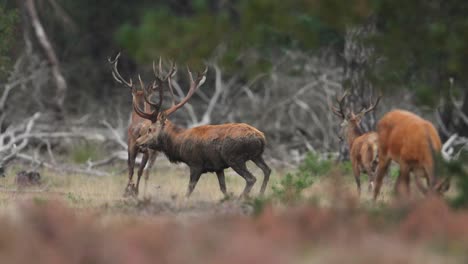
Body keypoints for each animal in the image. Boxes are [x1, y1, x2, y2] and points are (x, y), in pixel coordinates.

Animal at [108, 53, 176, 196]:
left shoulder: (130, 145)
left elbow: (131, 169)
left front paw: (128, 190)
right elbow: (137, 170)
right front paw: (132, 190)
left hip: (138, 146)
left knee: (135, 169)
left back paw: (132, 190)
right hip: (152, 151)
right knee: (144, 171)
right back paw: (138, 190)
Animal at [132, 66, 270, 198]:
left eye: (150, 129)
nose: (137, 141)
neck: (179, 145)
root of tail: (261, 138)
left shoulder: (195, 164)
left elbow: (189, 190)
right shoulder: (218, 167)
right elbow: (223, 189)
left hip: (234, 157)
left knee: (251, 178)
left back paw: (242, 198)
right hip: (257, 156)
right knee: (267, 170)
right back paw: (260, 195)